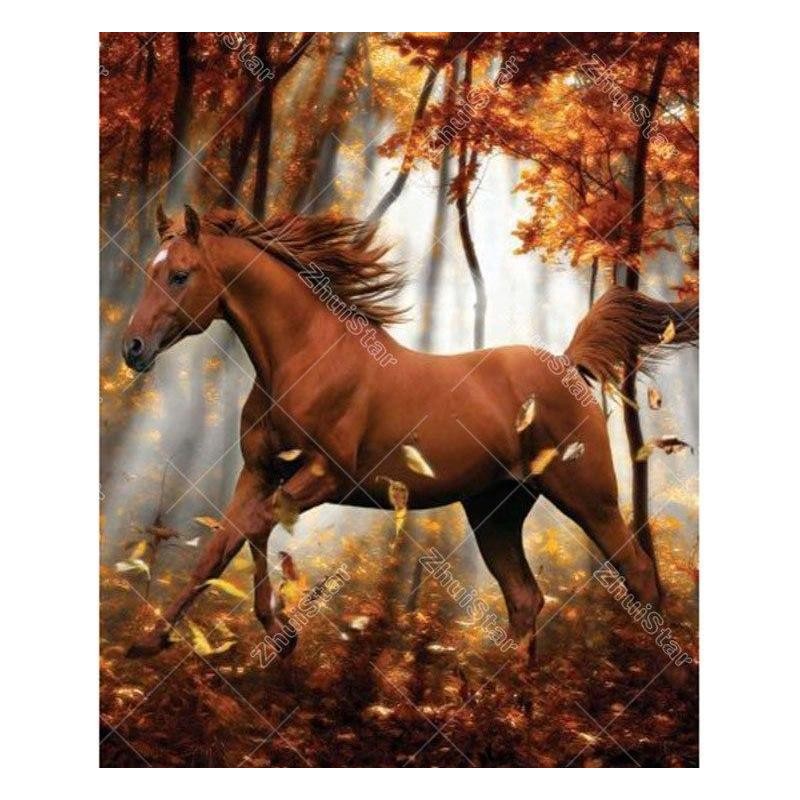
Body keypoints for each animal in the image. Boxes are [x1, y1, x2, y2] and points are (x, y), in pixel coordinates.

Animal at [121, 204, 698, 667]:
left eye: (179, 275)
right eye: (151, 272)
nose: (133, 348)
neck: (306, 360)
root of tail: (568, 362)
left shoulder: (324, 477)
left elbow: (254, 527)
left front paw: (279, 633)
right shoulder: (259, 472)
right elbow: (220, 546)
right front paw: (152, 641)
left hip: (588, 497)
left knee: (639, 575)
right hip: (496, 512)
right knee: (524, 599)